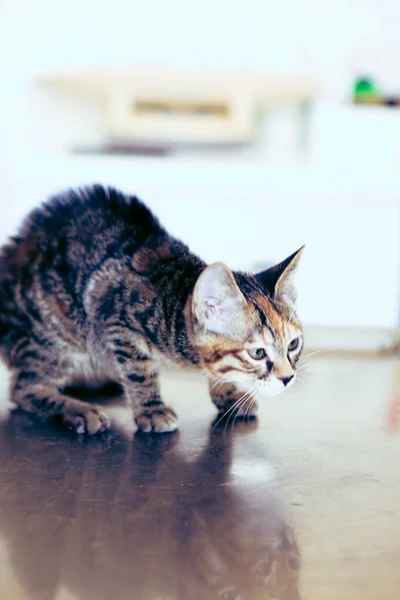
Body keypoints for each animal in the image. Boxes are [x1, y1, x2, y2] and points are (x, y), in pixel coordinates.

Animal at [0, 185, 304, 434]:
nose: (288, 378)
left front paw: (228, 392)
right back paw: (80, 411)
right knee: (24, 389)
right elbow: (140, 368)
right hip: (56, 334)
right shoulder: (114, 318)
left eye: (293, 344)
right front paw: (151, 409)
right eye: (257, 353)